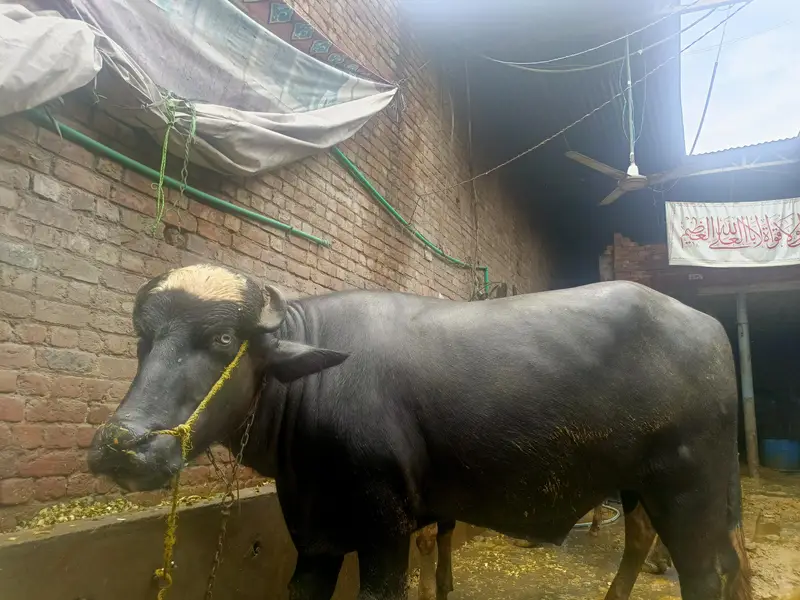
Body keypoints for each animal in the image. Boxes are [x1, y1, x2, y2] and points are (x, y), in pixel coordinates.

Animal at [89, 264, 751, 600]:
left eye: (223, 339)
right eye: (144, 337)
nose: (123, 445)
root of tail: (709, 328)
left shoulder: (387, 527)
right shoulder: (314, 535)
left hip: (688, 490)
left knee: (705, 574)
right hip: (653, 490)